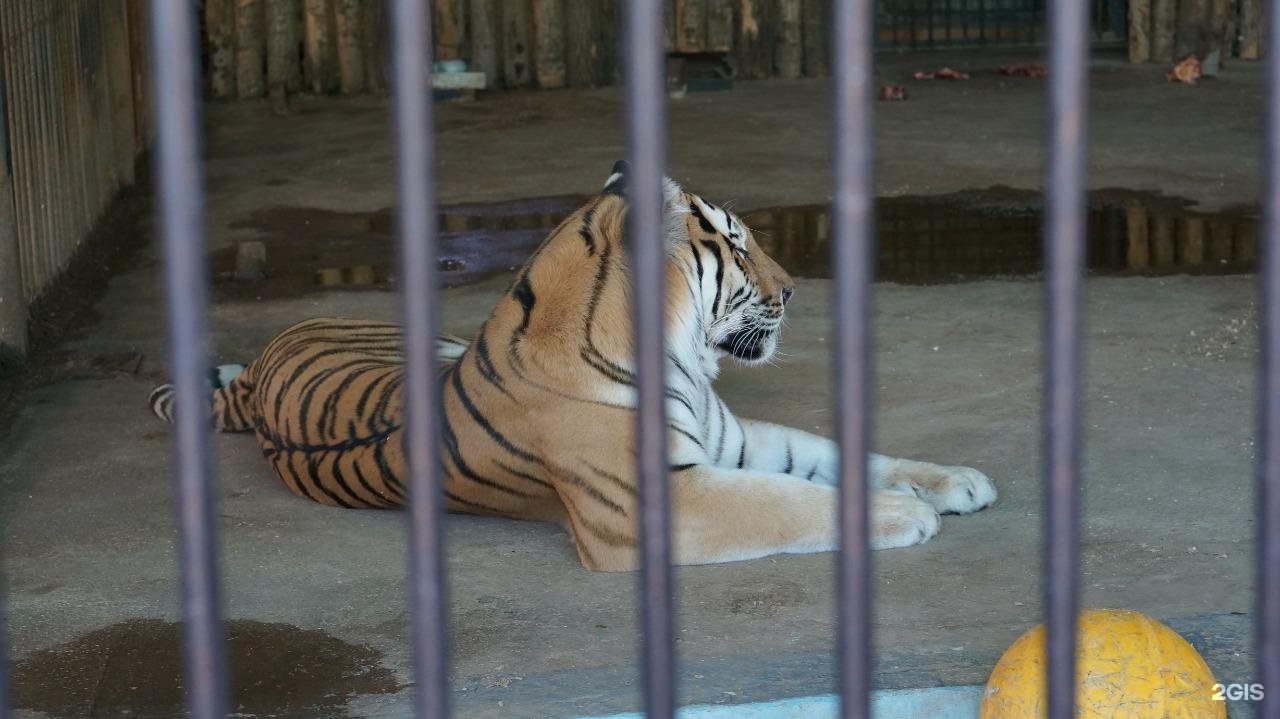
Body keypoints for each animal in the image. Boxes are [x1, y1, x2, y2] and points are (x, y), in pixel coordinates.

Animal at [147, 162, 988, 570]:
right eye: (739, 244)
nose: (793, 289)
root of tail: (266, 359)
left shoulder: (736, 441)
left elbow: (846, 456)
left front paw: (955, 480)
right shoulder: (661, 498)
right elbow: (793, 500)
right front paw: (907, 514)